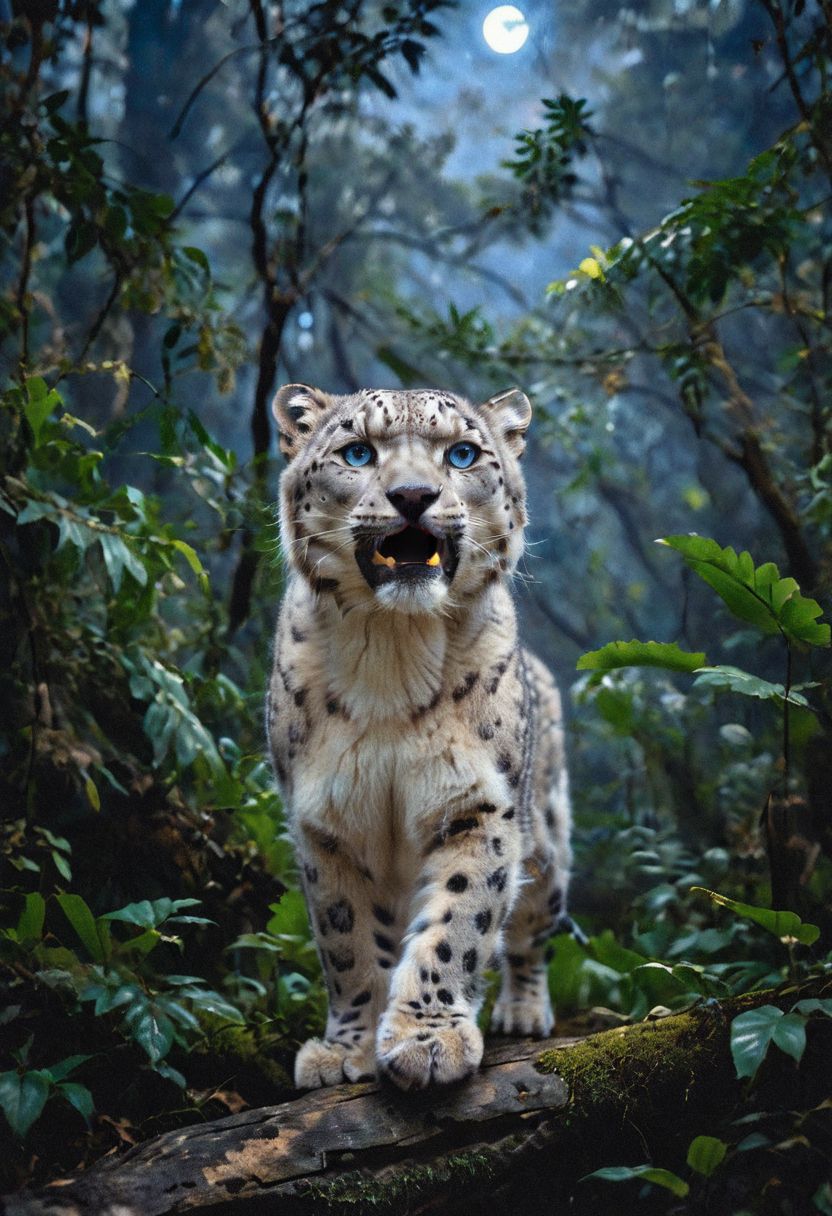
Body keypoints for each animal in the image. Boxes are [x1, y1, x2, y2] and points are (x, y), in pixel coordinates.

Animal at [266, 382, 572, 1092]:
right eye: (358, 451)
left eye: (461, 453)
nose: (413, 495)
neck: (392, 657)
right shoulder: (324, 823)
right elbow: (347, 942)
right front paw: (346, 1050)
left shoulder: (480, 806)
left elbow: (460, 919)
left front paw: (427, 1040)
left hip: (546, 848)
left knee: (532, 932)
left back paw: (523, 1011)